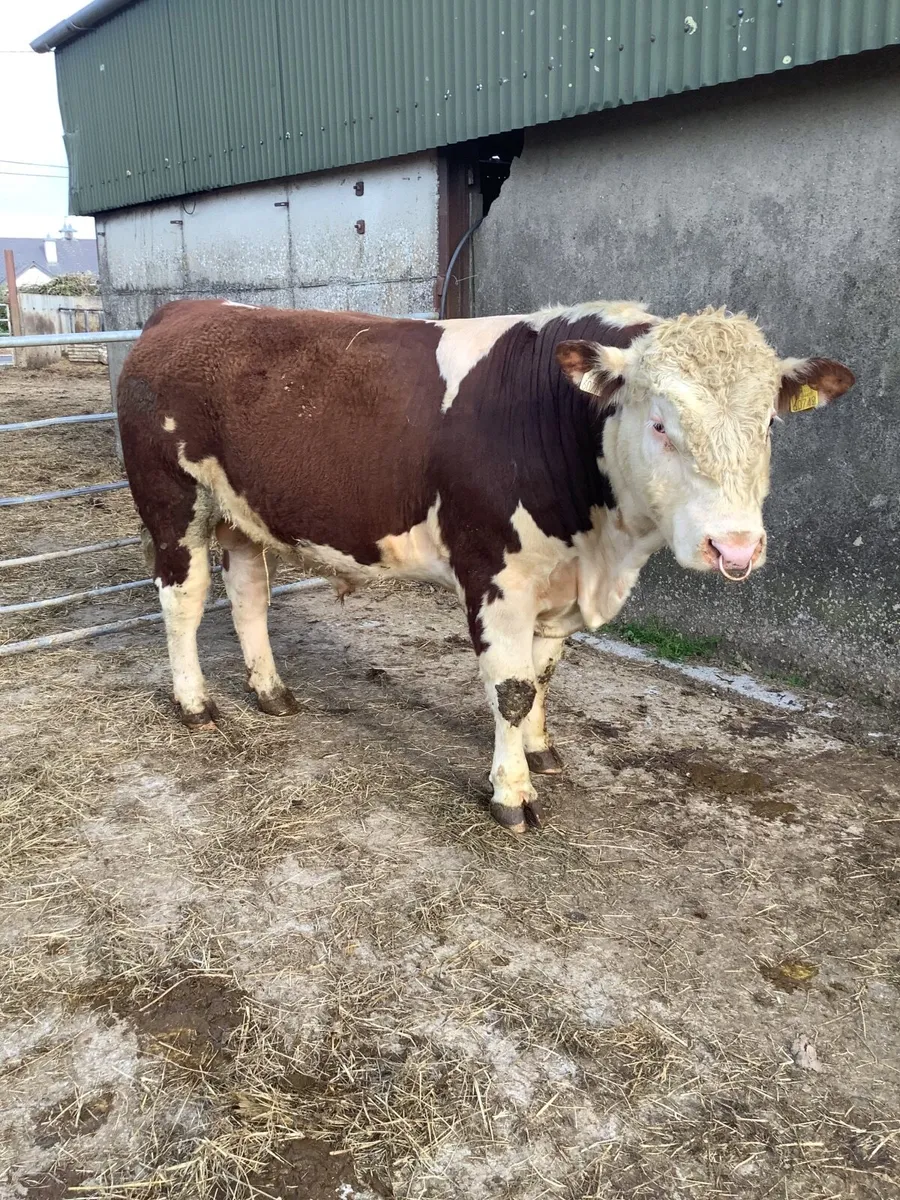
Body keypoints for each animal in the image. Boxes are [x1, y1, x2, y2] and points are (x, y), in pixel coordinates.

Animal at [117, 299, 853, 832]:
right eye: (660, 424)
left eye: (768, 425)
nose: (735, 547)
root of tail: (185, 309)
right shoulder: (495, 575)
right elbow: (512, 687)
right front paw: (512, 794)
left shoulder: (557, 583)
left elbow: (543, 672)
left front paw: (539, 750)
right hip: (172, 503)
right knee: (183, 598)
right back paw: (195, 703)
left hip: (243, 515)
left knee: (248, 595)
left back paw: (270, 691)